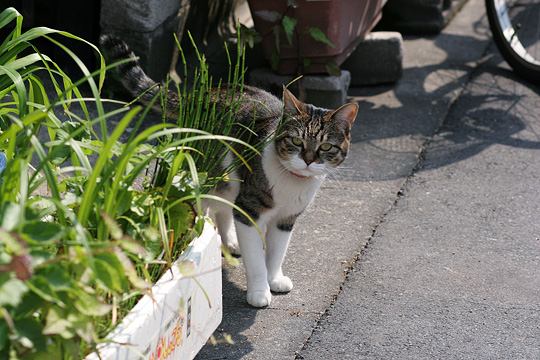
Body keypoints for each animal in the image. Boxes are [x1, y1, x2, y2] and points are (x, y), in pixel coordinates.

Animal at [101, 35, 358, 306]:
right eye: (296, 141)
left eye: (326, 146)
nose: (308, 160)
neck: (292, 183)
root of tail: (198, 94)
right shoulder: (250, 209)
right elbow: (256, 259)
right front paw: (259, 291)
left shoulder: (287, 219)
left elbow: (277, 252)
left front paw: (275, 279)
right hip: (205, 172)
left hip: (228, 181)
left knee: (223, 209)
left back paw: (230, 242)